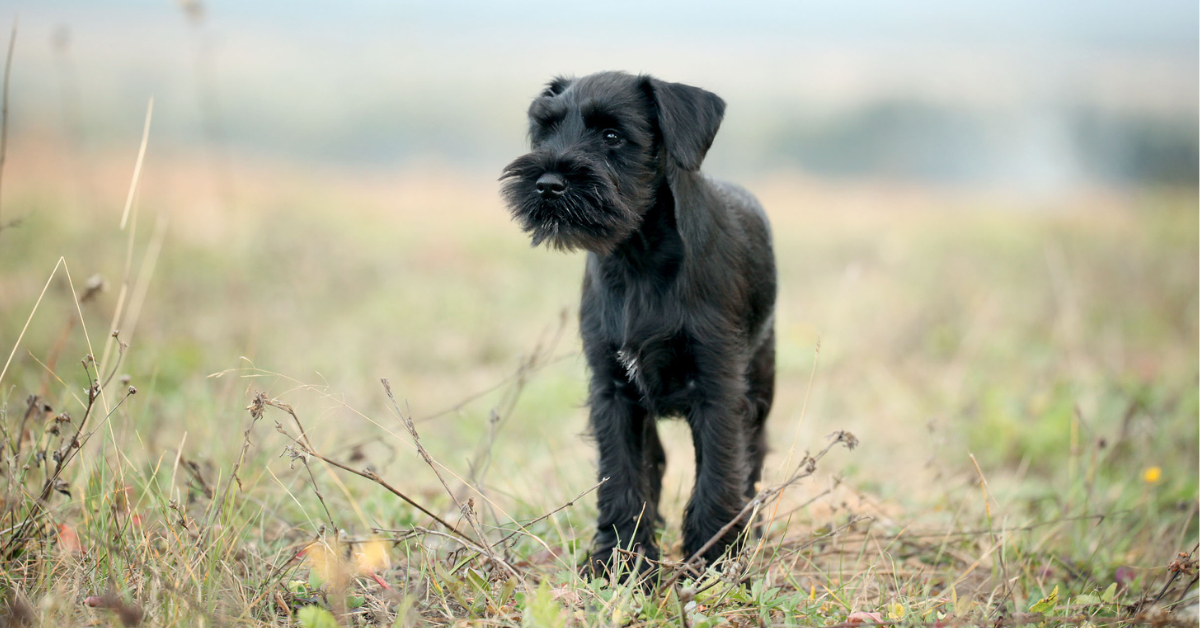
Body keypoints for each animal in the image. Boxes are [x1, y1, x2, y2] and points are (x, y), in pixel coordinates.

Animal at [499, 71, 772, 578]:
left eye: (612, 135)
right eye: (546, 129)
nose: (547, 183)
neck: (638, 256)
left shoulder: (719, 390)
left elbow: (718, 475)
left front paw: (714, 562)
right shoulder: (613, 392)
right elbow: (622, 478)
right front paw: (620, 564)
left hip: (761, 383)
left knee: (753, 458)